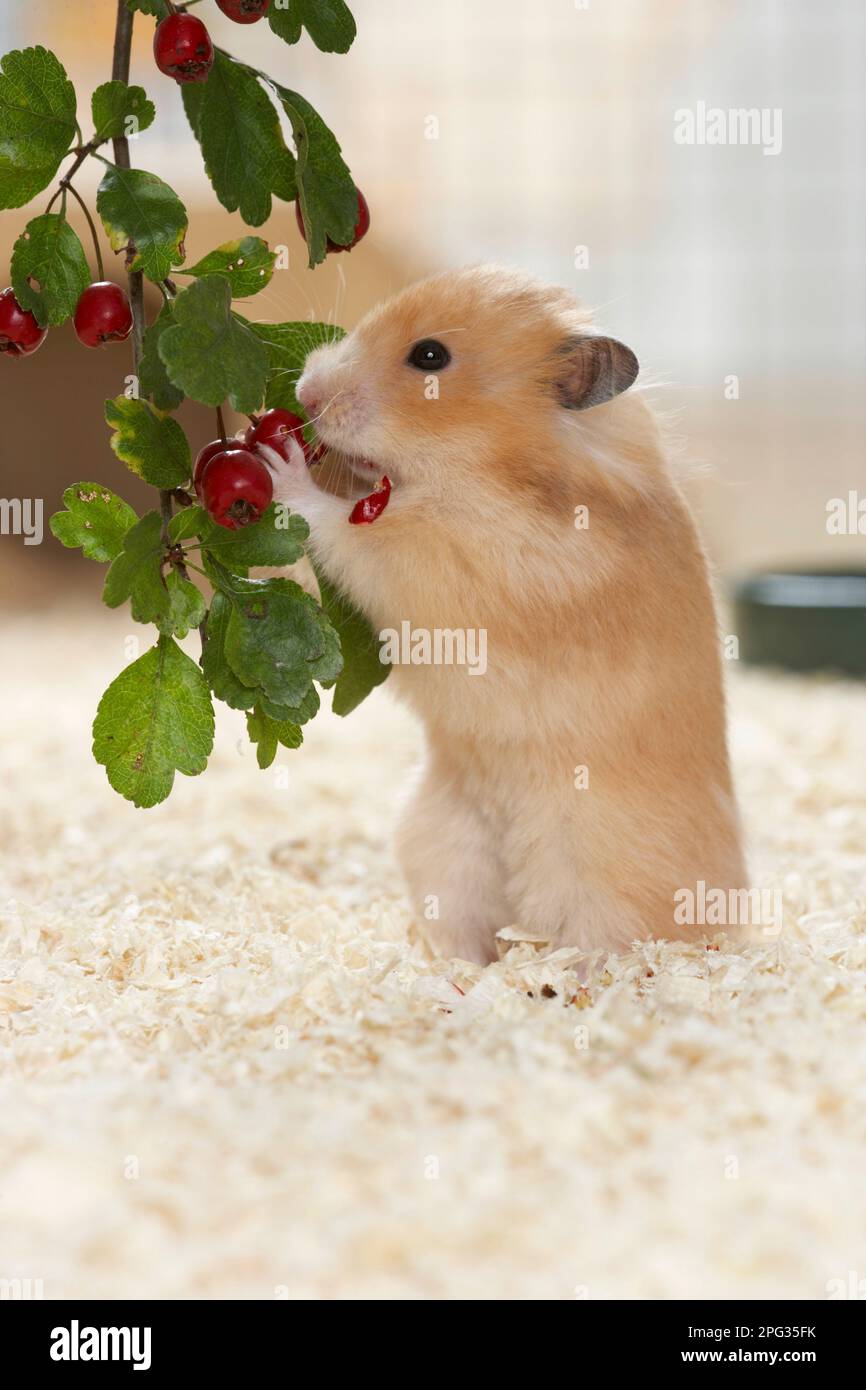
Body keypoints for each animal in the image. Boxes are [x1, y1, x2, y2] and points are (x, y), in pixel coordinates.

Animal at [264, 265, 747, 965]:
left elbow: (342, 529)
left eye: (430, 357)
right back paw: (461, 970)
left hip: (603, 879)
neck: (491, 470)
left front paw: (282, 468)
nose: (305, 391)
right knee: (464, 928)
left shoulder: (447, 560)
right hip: (437, 841)